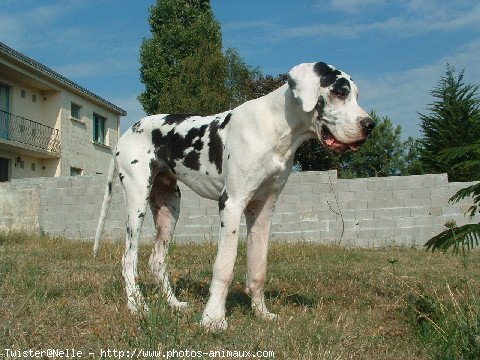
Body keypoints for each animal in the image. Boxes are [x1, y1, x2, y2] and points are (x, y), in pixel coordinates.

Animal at [94, 62, 376, 332]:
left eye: (356, 95)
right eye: (340, 92)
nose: (369, 125)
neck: (275, 127)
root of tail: (126, 132)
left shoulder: (263, 210)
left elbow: (258, 269)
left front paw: (261, 313)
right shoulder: (231, 204)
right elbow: (224, 267)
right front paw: (213, 319)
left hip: (169, 207)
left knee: (157, 260)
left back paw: (173, 304)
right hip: (137, 201)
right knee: (129, 259)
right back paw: (137, 306)